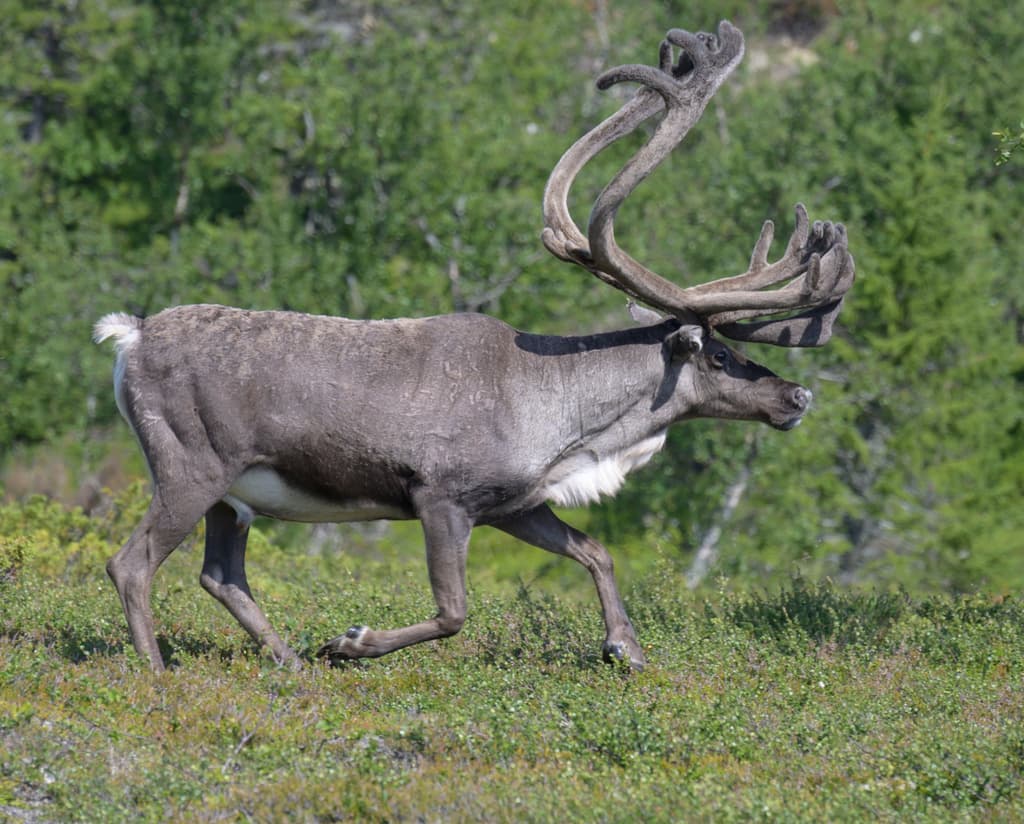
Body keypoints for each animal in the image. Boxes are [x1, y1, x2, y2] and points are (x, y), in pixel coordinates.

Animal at [94, 21, 853, 673]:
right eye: (718, 355)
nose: (796, 395)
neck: (571, 424)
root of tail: (130, 335)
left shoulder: (514, 502)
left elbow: (596, 551)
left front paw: (625, 649)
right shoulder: (441, 496)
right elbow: (454, 611)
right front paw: (352, 641)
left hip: (234, 493)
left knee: (222, 575)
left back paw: (288, 663)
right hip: (190, 466)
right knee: (132, 562)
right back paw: (158, 671)